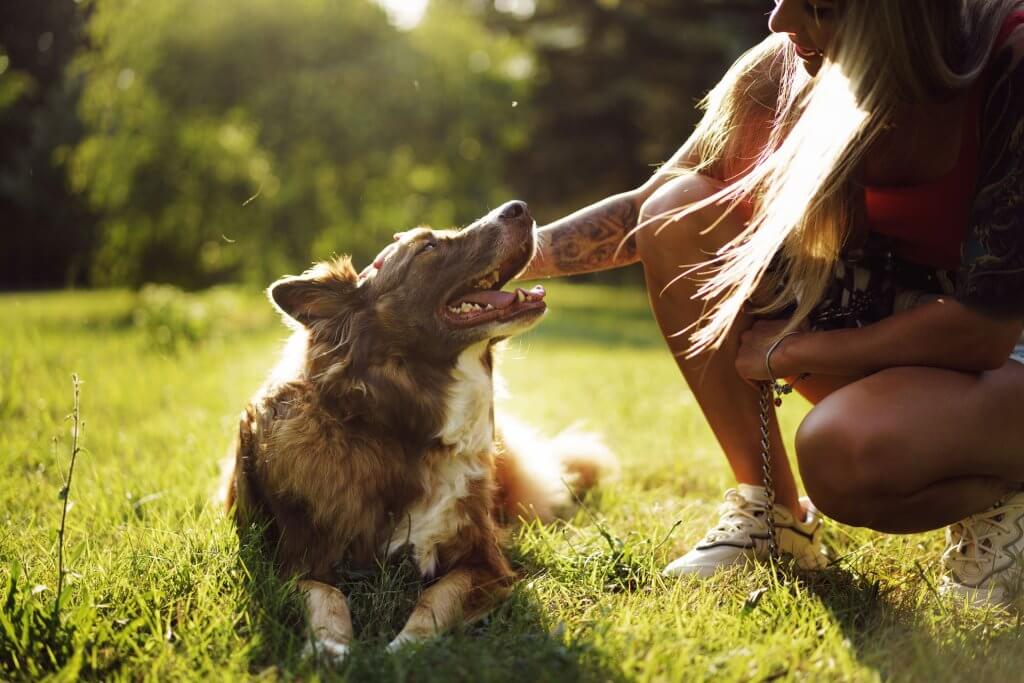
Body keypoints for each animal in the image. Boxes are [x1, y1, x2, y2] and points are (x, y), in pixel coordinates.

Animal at [221, 201, 610, 663]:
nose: (519, 207)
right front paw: (330, 645)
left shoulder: (484, 563)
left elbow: (436, 598)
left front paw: (407, 646)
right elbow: (325, 596)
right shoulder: (292, 565)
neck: (394, 432)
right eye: (428, 248)